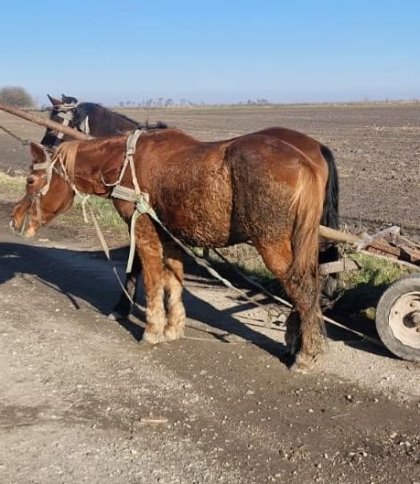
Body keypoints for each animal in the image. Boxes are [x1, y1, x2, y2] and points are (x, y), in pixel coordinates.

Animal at [12, 127, 332, 370]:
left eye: (30, 180)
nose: (14, 219)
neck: (124, 164)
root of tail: (304, 160)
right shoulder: (171, 236)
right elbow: (173, 280)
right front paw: (174, 326)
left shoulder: (144, 231)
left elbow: (152, 279)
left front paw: (152, 329)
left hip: (272, 244)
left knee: (302, 288)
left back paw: (306, 354)